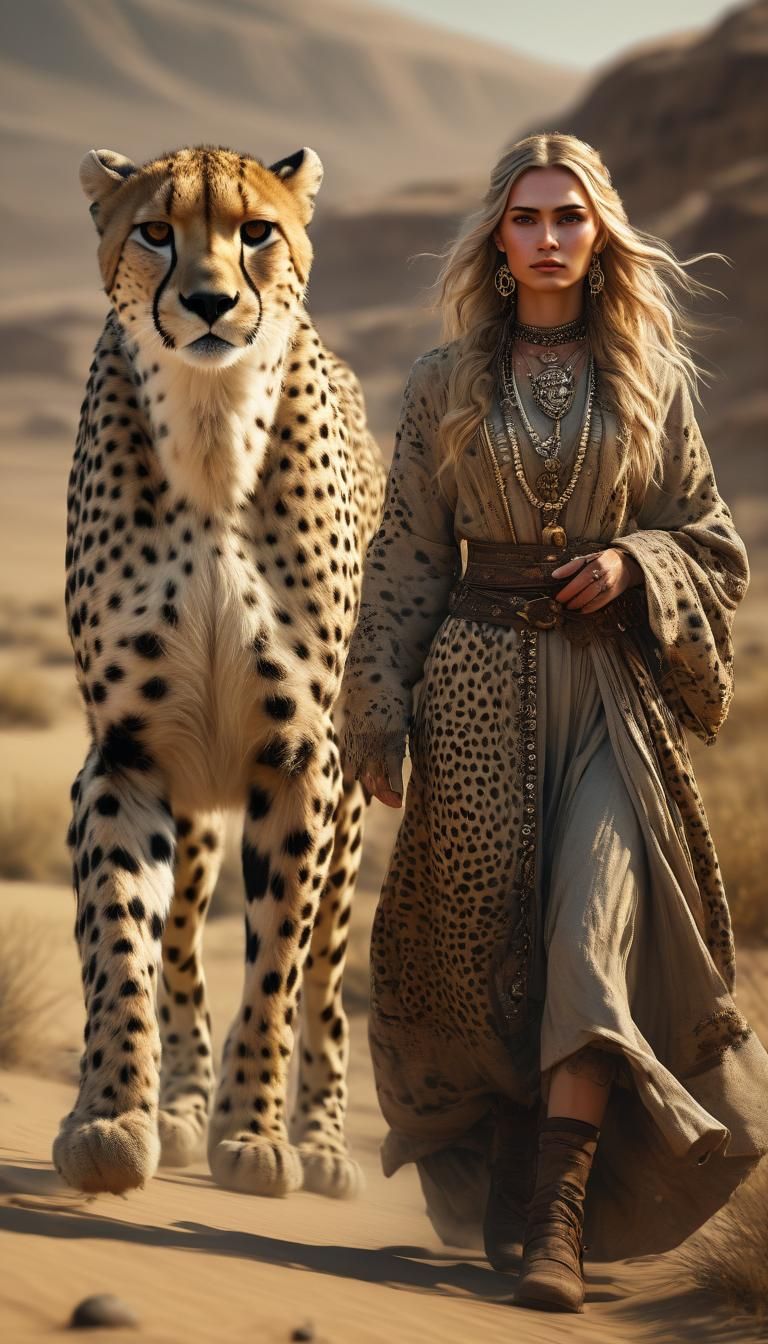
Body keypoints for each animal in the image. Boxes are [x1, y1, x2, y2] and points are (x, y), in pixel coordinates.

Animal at [53, 142, 386, 1201]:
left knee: (326, 977)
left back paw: (320, 1139)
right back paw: (181, 1103)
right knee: (187, 944)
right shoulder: (129, 753)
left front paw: (259, 1131)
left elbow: (278, 962)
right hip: (195, 797)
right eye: (156, 230)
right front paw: (113, 1116)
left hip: (353, 808)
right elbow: (121, 944)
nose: (207, 301)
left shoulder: (301, 757)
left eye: (257, 231)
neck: (210, 430)